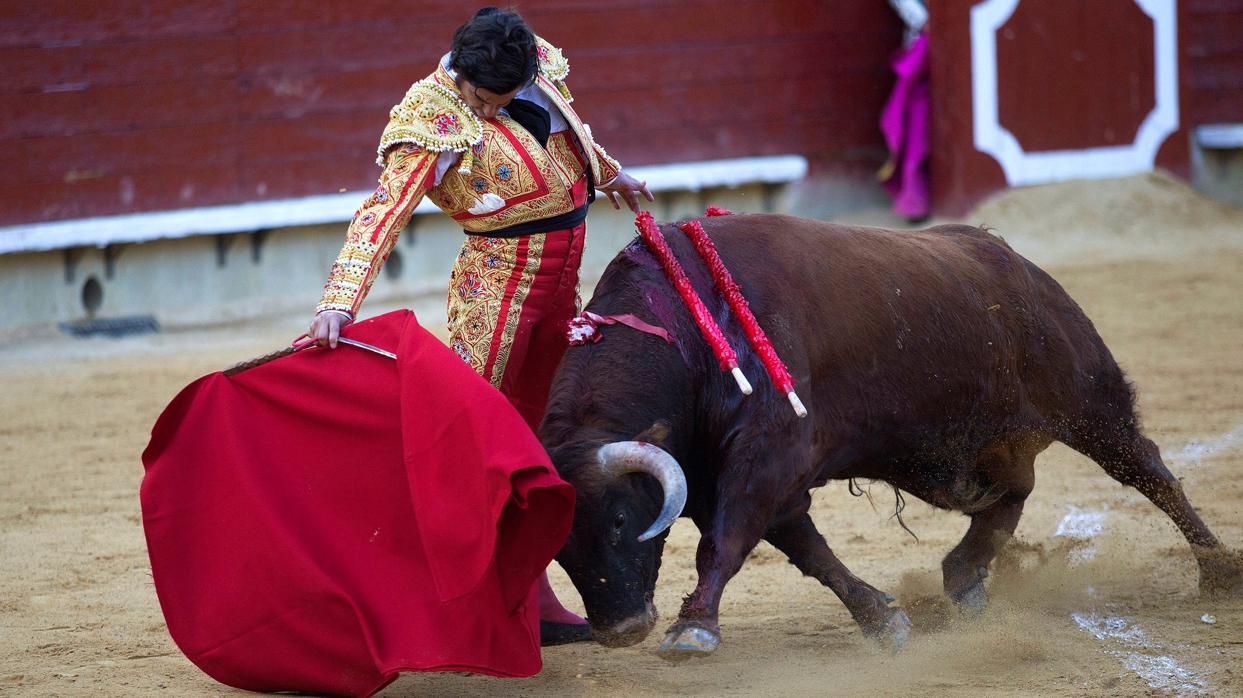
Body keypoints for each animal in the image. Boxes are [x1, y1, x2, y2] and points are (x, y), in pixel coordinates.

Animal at [539, 212, 1238, 655]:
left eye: (622, 520)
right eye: (559, 549)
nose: (622, 630)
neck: (689, 333)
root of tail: (1013, 260)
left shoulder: (767, 455)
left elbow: (728, 541)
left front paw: (694, 629)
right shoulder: (731, 476)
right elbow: (806, 549)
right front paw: (882, 620)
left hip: (1089, 400)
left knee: (1148, 469)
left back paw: (1217, 571)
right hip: (993, 443)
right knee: (1012, 493)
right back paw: (963, 579)